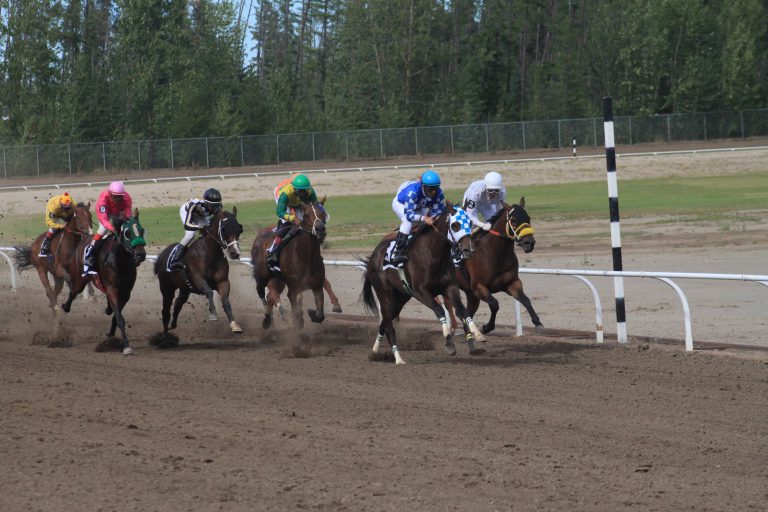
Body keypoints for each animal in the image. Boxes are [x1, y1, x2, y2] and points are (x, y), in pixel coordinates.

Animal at [154, 206, 243, 338]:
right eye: (224, 229)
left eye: (239, 229)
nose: (235, 253)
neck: (209, 255)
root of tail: (162, 255)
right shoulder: (197, 279)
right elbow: (209, 292)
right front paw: (213, 313)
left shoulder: (223, 282)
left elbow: (226, 302)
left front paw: (234, 325)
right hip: (166, 288)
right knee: (165, 311)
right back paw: (165, 335)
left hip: (184, 289)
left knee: (178, 303)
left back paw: (173, 324)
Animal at [249, 199, 328, 328]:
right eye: (307, 215)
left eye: (323, 213)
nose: (320, 229)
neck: (306, 257)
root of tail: (259, 235)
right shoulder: (293, 290)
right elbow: (297, 317)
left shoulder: (317, 286)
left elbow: (320, 315)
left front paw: (311, 313)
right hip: (262, 275)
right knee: (260, 291)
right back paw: (266, 319)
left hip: (278, 280)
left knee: (270, 297)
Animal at [364, 203, 484, 364]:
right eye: (455, 225)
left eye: (470, 223)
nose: (468, 250)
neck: (433, 254)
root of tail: (372, 257)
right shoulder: (421, 292)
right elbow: (439, 311)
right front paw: (449, 343)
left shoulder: (450, 287)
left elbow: (463, 311)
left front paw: (476, 335)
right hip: (385, 294)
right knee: (388, 322)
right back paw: (398, 358)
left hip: (400, 297)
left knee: (385, 321)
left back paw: (375, 350)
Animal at [452, 198, 544, 334]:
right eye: (514, 220)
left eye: (528, 218)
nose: (529, 243)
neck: (494, 254)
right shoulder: (478, 287)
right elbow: (494, 304)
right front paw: (487, 327)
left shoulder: (511, 283)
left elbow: (526, 300)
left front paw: (538, 322)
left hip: (470, 293)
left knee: (468, 311)